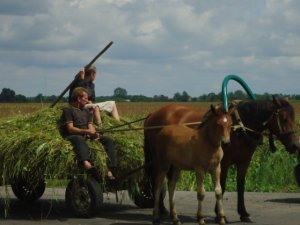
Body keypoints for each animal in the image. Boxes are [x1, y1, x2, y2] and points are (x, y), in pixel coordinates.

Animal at [144, 96, 298, 222]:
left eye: (294, 117)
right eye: (284, 118)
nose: (296, 145)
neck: (239, 127)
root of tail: (153, 114)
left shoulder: (244, 162)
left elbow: (240, 185)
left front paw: (243, 213)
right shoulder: (224, 163)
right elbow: (222, 186)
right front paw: (218, 213)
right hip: (159, 159)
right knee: (157, 179)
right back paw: (161, 209)